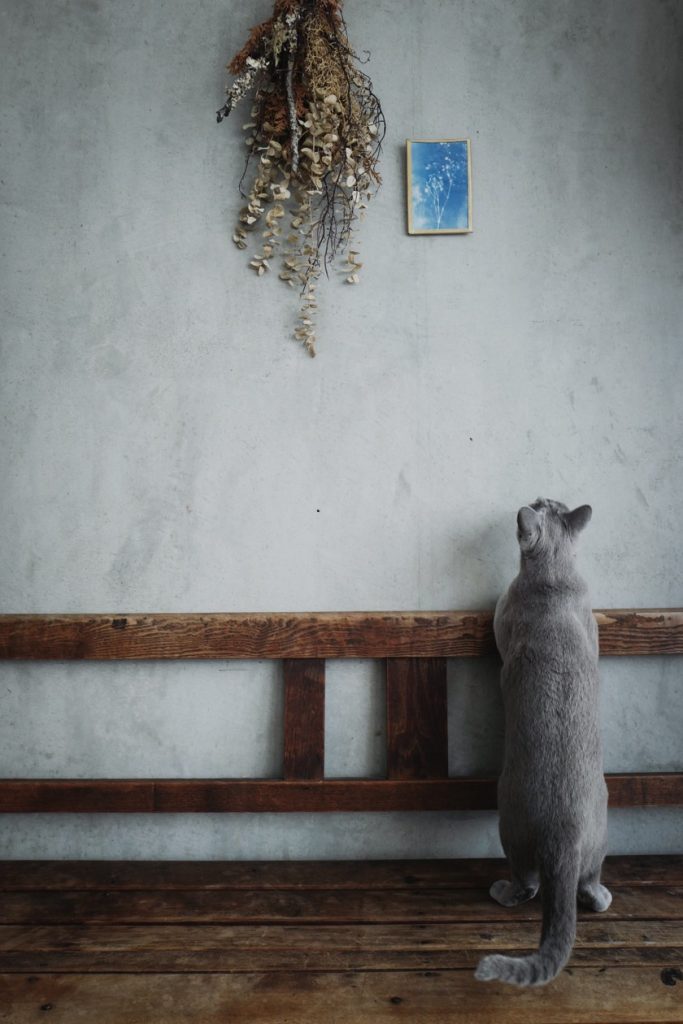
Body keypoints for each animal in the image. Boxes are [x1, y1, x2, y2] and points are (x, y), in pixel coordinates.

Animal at [475, 498, 612, 987]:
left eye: (539, 505)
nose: (532, 500)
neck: (556, 579)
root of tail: (563, 833)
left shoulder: (506, 610)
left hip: (509, 825)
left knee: (528, 883)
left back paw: (502, 890)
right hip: (601, 831)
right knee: (585, 880)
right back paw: (600, 896)